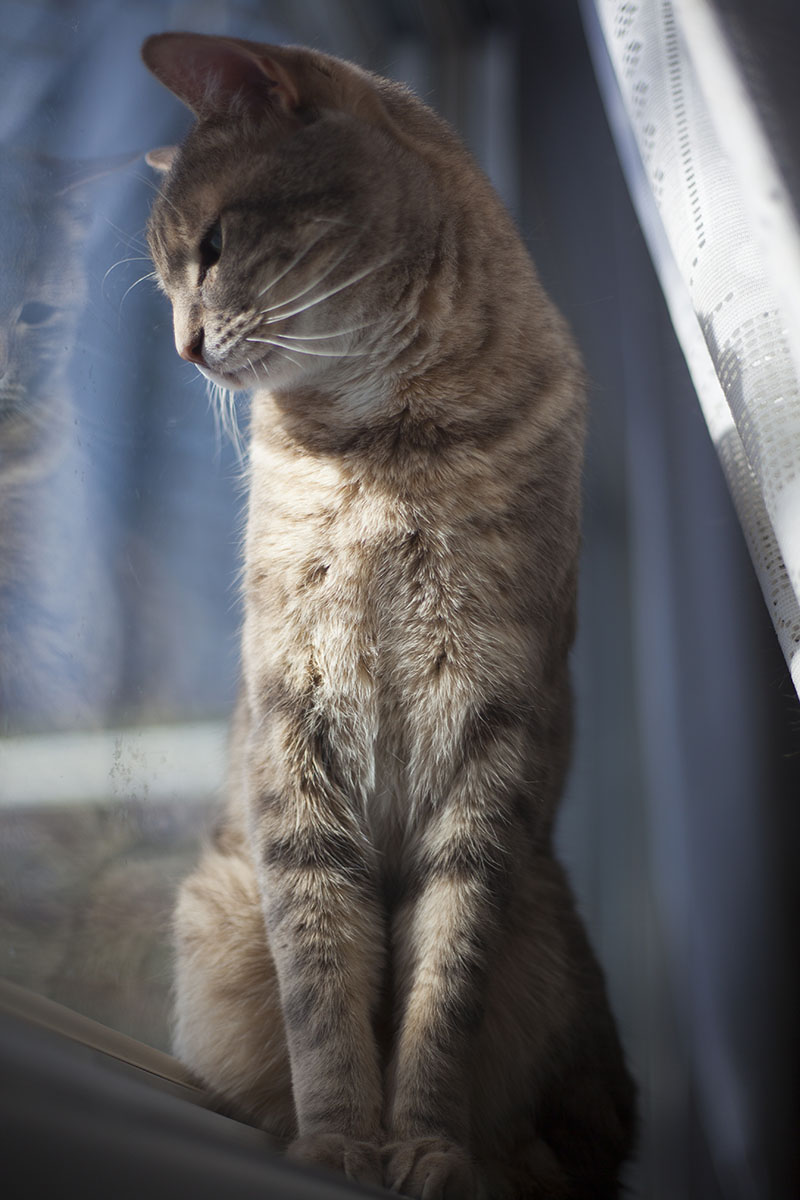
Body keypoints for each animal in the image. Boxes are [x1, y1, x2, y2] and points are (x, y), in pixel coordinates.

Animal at [140, 32, 633, 1195]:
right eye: (163, 275)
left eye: (213, 246)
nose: (182, 348)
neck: (385, 446)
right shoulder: (296, 731)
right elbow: (321, 982)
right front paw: (337, 1146)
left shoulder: (490, 746)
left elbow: (440, 994)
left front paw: (425, 1149)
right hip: (219, 900)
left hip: (542, 934)